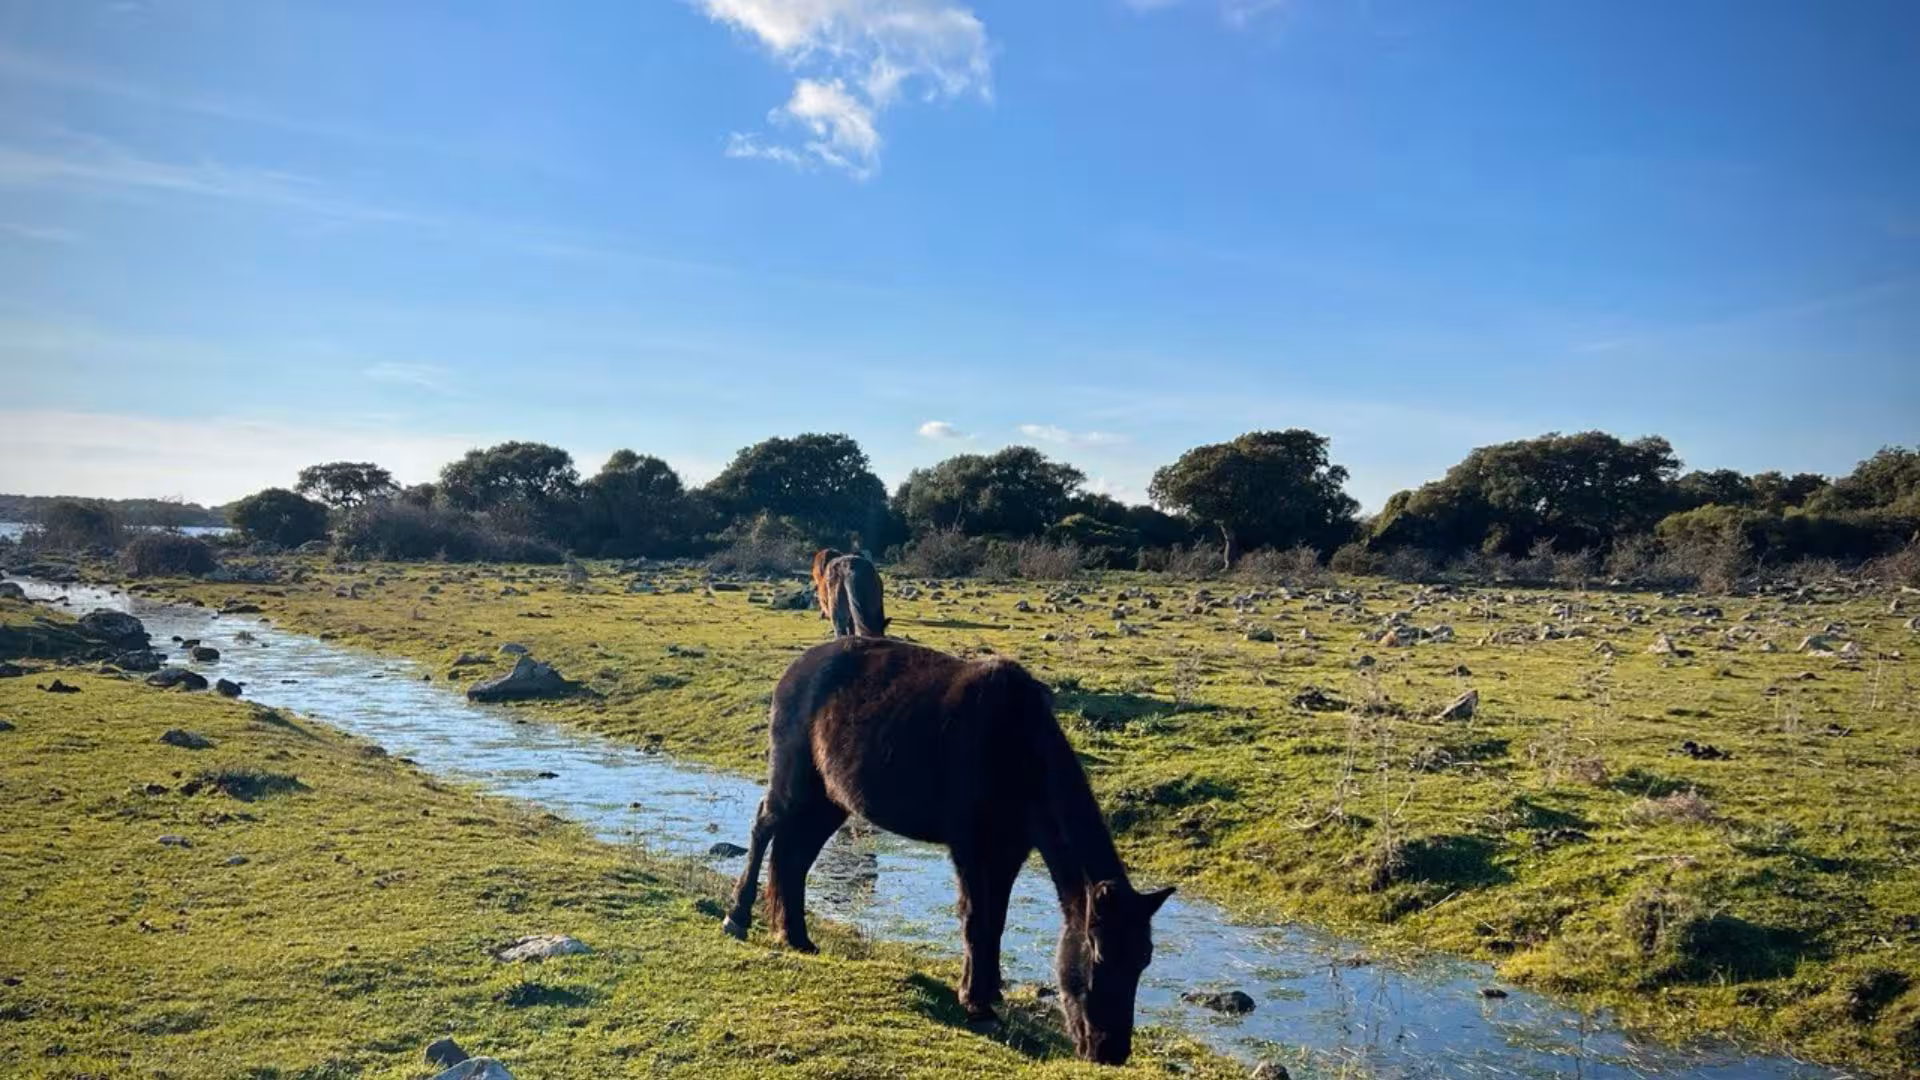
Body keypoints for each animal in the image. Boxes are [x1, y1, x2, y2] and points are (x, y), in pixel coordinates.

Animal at [722, 637, 1173, 1065]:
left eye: (1145, 959)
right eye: (1098, 953)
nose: (1110, 1050)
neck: (1018, 748)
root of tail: (794, 670)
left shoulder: (1009, 851)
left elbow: (997, 921)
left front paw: (989, 992)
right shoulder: (970, 846)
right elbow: (975, 918)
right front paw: (975, 1002)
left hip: (829, 798)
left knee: (795, 858)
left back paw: (796, 936)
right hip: (794, 781)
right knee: (765, 828)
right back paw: (738, 917)